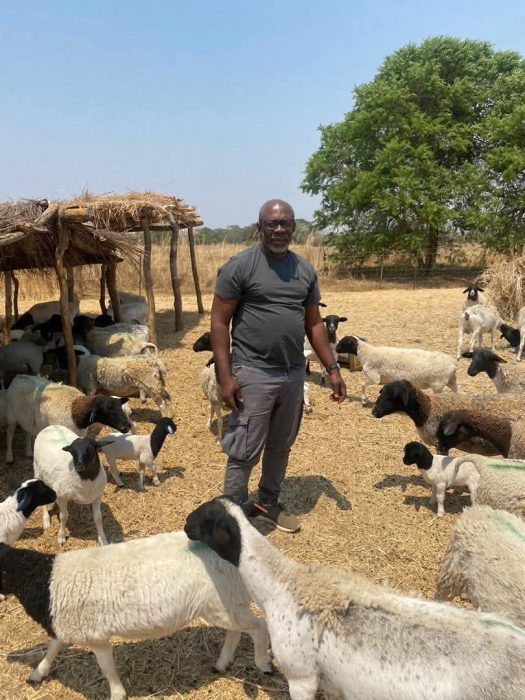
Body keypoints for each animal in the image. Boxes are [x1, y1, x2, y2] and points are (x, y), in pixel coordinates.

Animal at [0, 533, 272, 699]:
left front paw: (117, 694)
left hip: (221, 602)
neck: (43, 580)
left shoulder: (95, 635)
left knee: (259, 626)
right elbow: (53, 647)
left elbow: (107, 668)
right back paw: (222, 662)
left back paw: (263, 663)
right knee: (237, 629)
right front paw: (37, 673)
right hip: (225, 601)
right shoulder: (67, 625)